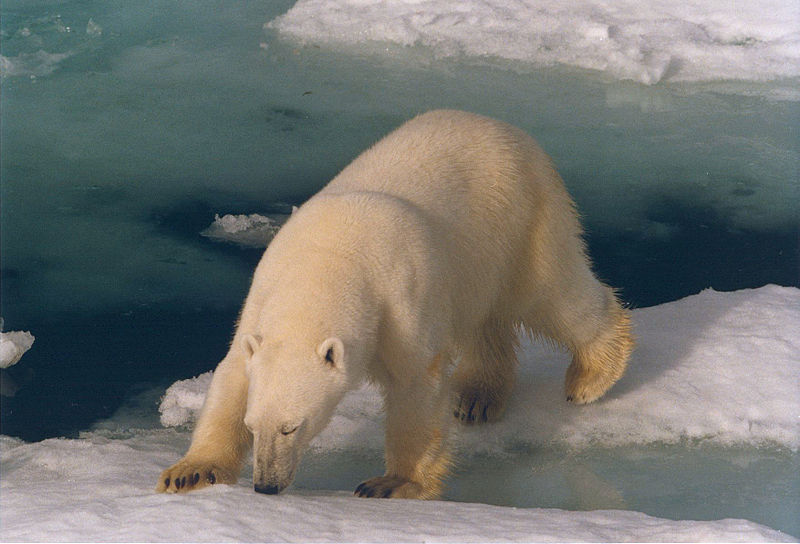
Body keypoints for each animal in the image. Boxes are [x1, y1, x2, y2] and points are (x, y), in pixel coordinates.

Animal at [156, 110, 633, 499]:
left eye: (293, 426)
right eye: (254, 426)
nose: (266, 485)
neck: (326, 262)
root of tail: (505, 127)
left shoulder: (399, 299)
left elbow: (416, 383)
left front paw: (390, 483)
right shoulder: (260, 304)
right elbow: (233, 375)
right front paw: (188, 473)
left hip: (521, 217)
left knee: (550, 293)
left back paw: (592, 375)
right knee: (484, 322)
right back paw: (476, 398)